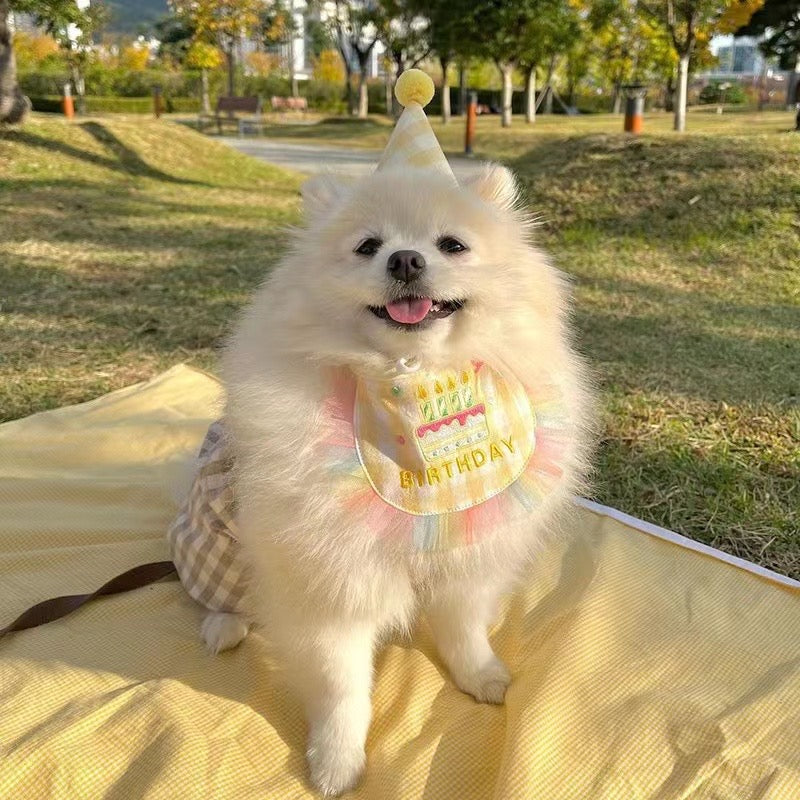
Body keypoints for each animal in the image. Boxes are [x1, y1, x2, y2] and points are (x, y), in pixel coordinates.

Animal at [195, 158, 592, 792]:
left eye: (452, 244)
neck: (412, 382)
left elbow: (463, 627)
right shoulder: (331, 583)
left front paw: (480, 675)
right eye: (368, 246)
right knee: (220, 593)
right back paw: (223, 625)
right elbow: (340, 686)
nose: (405, 259)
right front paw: (336, 761)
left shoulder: (466, 552)